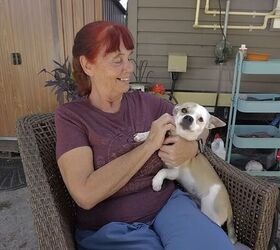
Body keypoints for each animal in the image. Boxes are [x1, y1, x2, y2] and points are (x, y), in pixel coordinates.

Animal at [135, 102, 237, 244]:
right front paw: (143, 136)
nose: (188, 118)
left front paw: (156, 183)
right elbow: (155, 134)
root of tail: (229, 207)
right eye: (184, 110)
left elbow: (162, 170)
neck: (177, 136)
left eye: (200, 119)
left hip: (210, 212)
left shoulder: (173, 172)